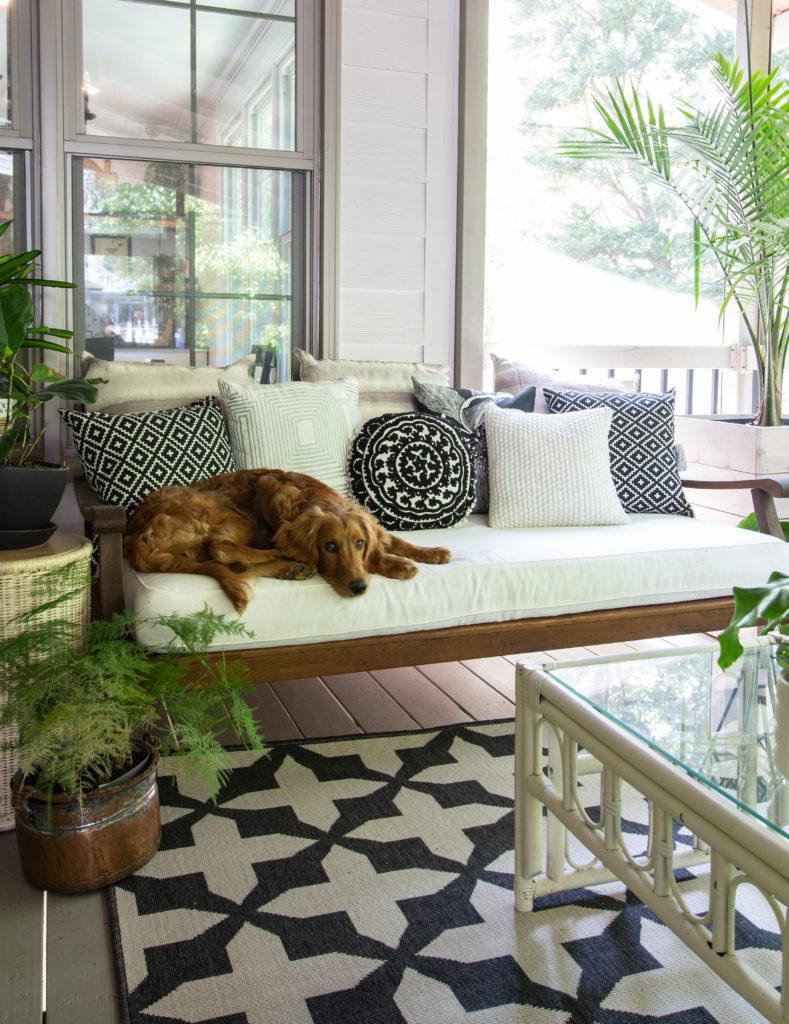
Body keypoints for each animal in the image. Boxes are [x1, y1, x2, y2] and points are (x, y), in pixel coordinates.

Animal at [126, 468, 454, 610]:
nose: (359, 588)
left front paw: (432, 552)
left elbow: (394, 540)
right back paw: (286, 561)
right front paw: (397, 565)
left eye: (359, 543)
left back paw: (289, 569)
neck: (311, 500)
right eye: (330, 547)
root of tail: (134, 533)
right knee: (223, 548)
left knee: (233, 564)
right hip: (232, 514)